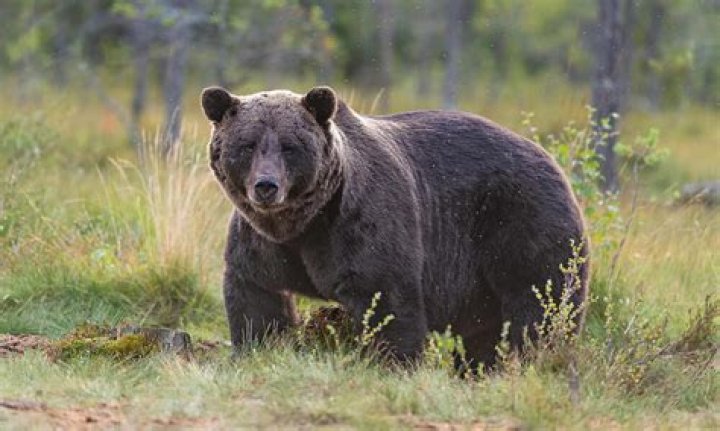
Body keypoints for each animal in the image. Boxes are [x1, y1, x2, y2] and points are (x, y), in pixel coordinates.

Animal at [200, 85, 589, 367]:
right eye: (247, 145)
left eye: (290, 146)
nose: (266, 186)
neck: (304, 223)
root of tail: (553, 162)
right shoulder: (262, 242)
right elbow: (258, 297)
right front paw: (257, 349)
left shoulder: (360, 223)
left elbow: (386, 298)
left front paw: (391, 363)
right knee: (489, 331)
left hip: (521, 221)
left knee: (541, 304)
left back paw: (534, 360)